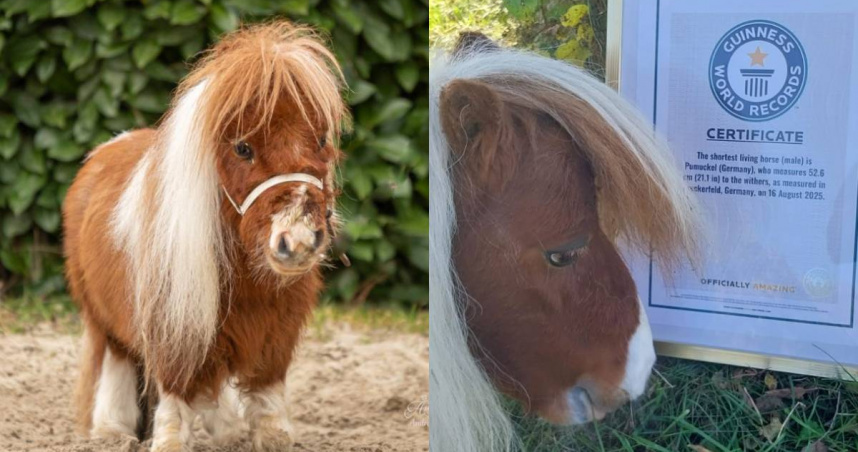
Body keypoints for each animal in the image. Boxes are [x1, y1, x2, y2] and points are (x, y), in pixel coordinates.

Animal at [62, 21, 347, 452]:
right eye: (242, 148)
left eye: (320, 140)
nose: (296, 241)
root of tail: (104, 151)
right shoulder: (173, 325)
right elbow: (175, 397)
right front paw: (166, 441)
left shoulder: (275, 331)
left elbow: (266, 396)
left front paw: (265, 435)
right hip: (102, 318)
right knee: (118, 362)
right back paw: (112, 430)